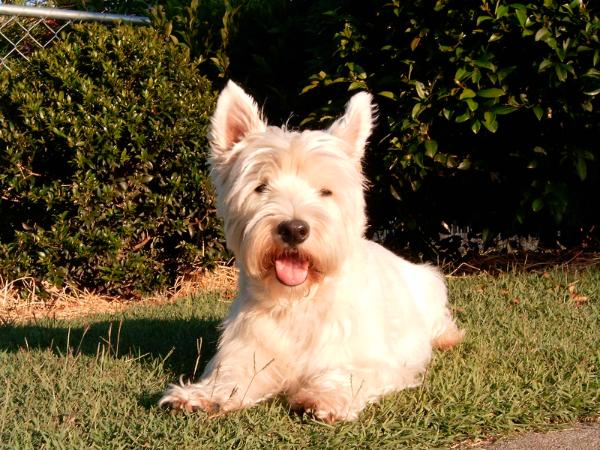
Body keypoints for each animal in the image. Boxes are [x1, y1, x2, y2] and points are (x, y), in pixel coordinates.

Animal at [159, 81, 464, 422]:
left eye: (325, 191)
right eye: (261, 187)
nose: (294, 229)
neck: (298, 301)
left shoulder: (376, 360)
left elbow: (351, 373)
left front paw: (323, 396)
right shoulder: (248, 348)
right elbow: (231, 373)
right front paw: (202, 396)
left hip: (431, 286)